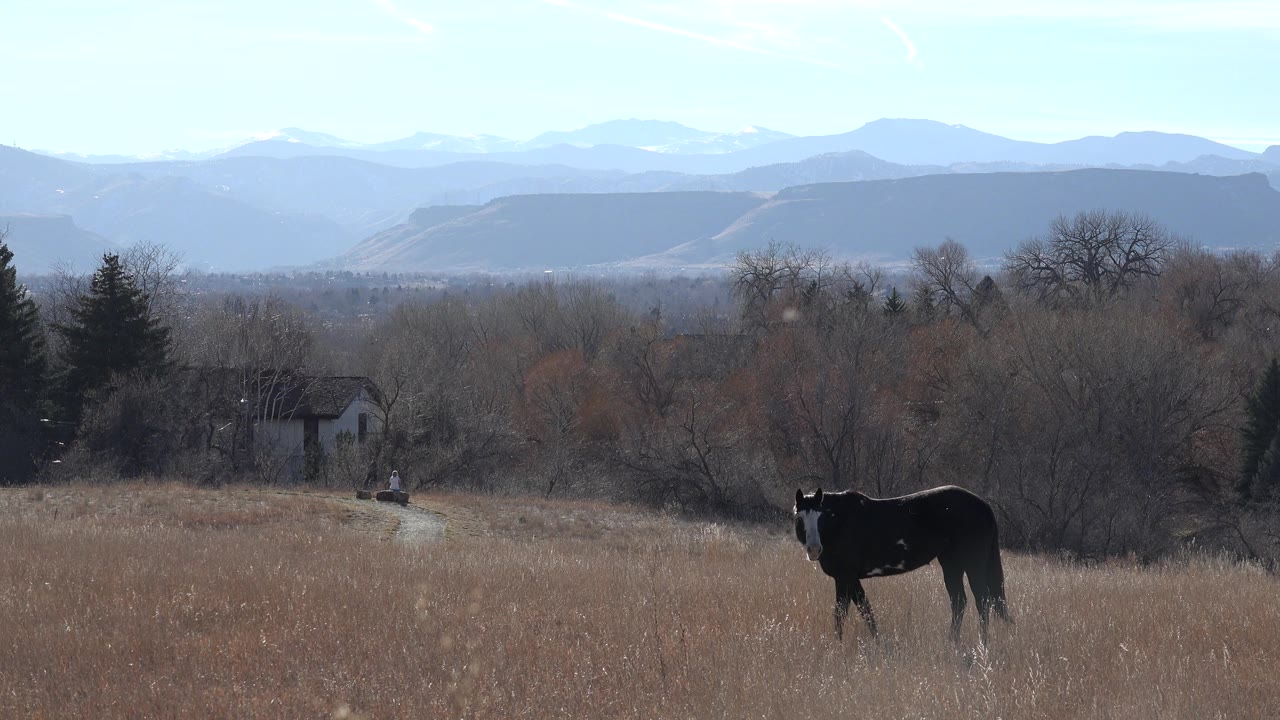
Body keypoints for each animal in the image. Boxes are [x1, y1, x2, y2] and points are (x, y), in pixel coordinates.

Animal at [794, 485, 1010, 644]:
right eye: (800, 517)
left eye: (821, 516)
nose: (814, 549)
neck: (841, 523)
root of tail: (983, 505)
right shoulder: (850, 579)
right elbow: (863, 609)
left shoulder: (845, 576)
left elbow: (845, 612)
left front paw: (839, 644)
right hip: (951, 564)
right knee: (959, 601)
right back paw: (952, 642)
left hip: (973, 564)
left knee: (982, 601)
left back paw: (982, 643)